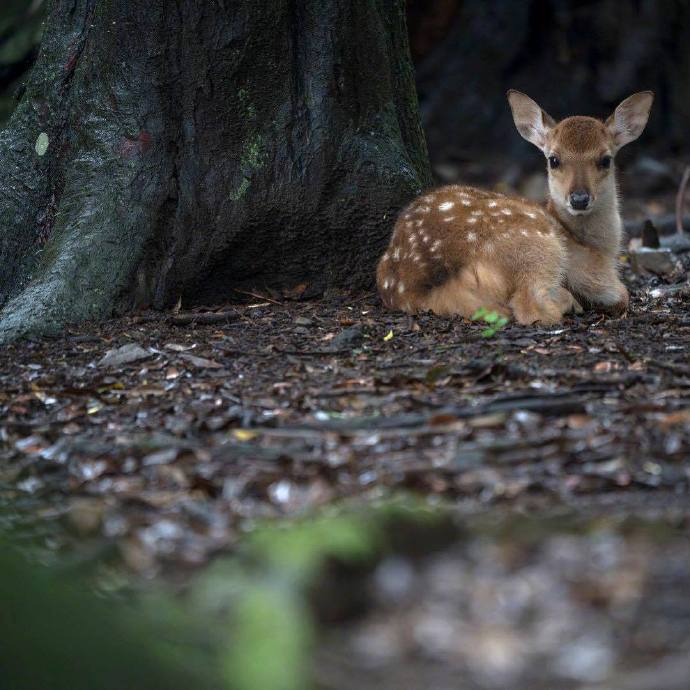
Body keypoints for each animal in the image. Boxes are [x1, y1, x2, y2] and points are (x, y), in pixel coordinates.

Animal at [376, 90, 652, 324]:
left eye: (605, 160)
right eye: (554, 160)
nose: (579, 199)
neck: (601, 247)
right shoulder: (589, 267)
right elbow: (622, 293)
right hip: (536, 244)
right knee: (530, 307)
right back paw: (569, 303)